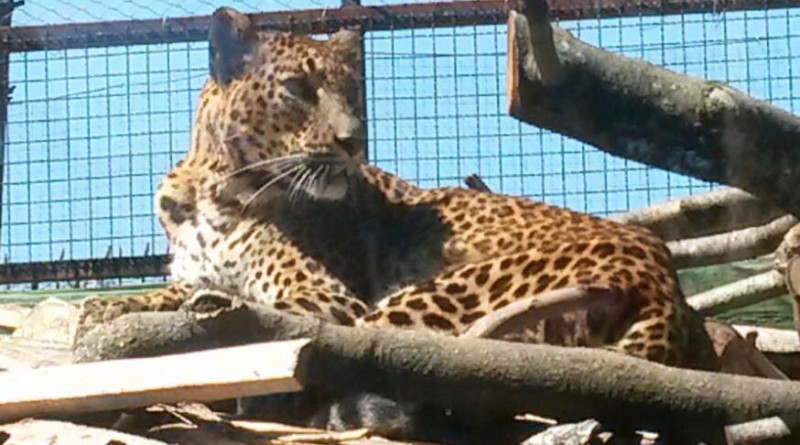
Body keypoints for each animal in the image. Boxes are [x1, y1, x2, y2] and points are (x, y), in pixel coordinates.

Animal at [76, 6, 720, 440]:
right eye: (298, 89)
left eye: (352, 91)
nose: (353, 139)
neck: (214, 186)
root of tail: (668, 285)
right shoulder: (196, 268)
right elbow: (174, 291)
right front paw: (110, 308)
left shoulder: (324, 298)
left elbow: (228, 305)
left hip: (431, 302)